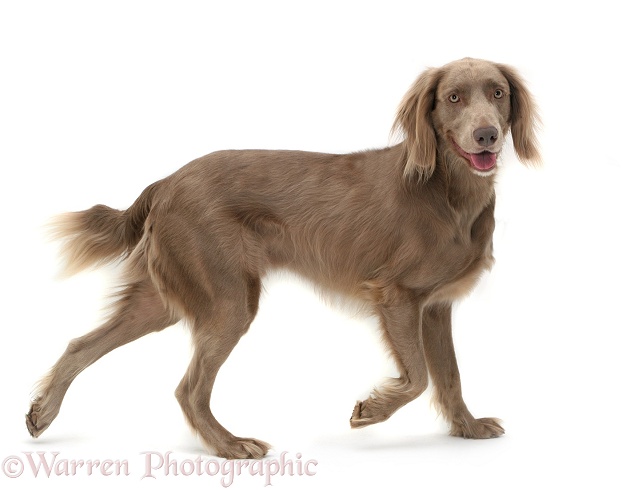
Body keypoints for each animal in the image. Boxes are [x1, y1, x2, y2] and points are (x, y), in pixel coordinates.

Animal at [26, 57, 540, 460]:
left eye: (497, 93)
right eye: (453, 98)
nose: (487, 135)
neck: (448, 193)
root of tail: (166, 182)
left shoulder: (434, 308)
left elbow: (449, 375)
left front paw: (467, 427)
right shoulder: (397, 297)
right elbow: (418, 377)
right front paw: (370, 411)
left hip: (163, 299)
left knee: (81, 345)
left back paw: (42, 412)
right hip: (228, 300)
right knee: (188, 388)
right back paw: (229, 445)